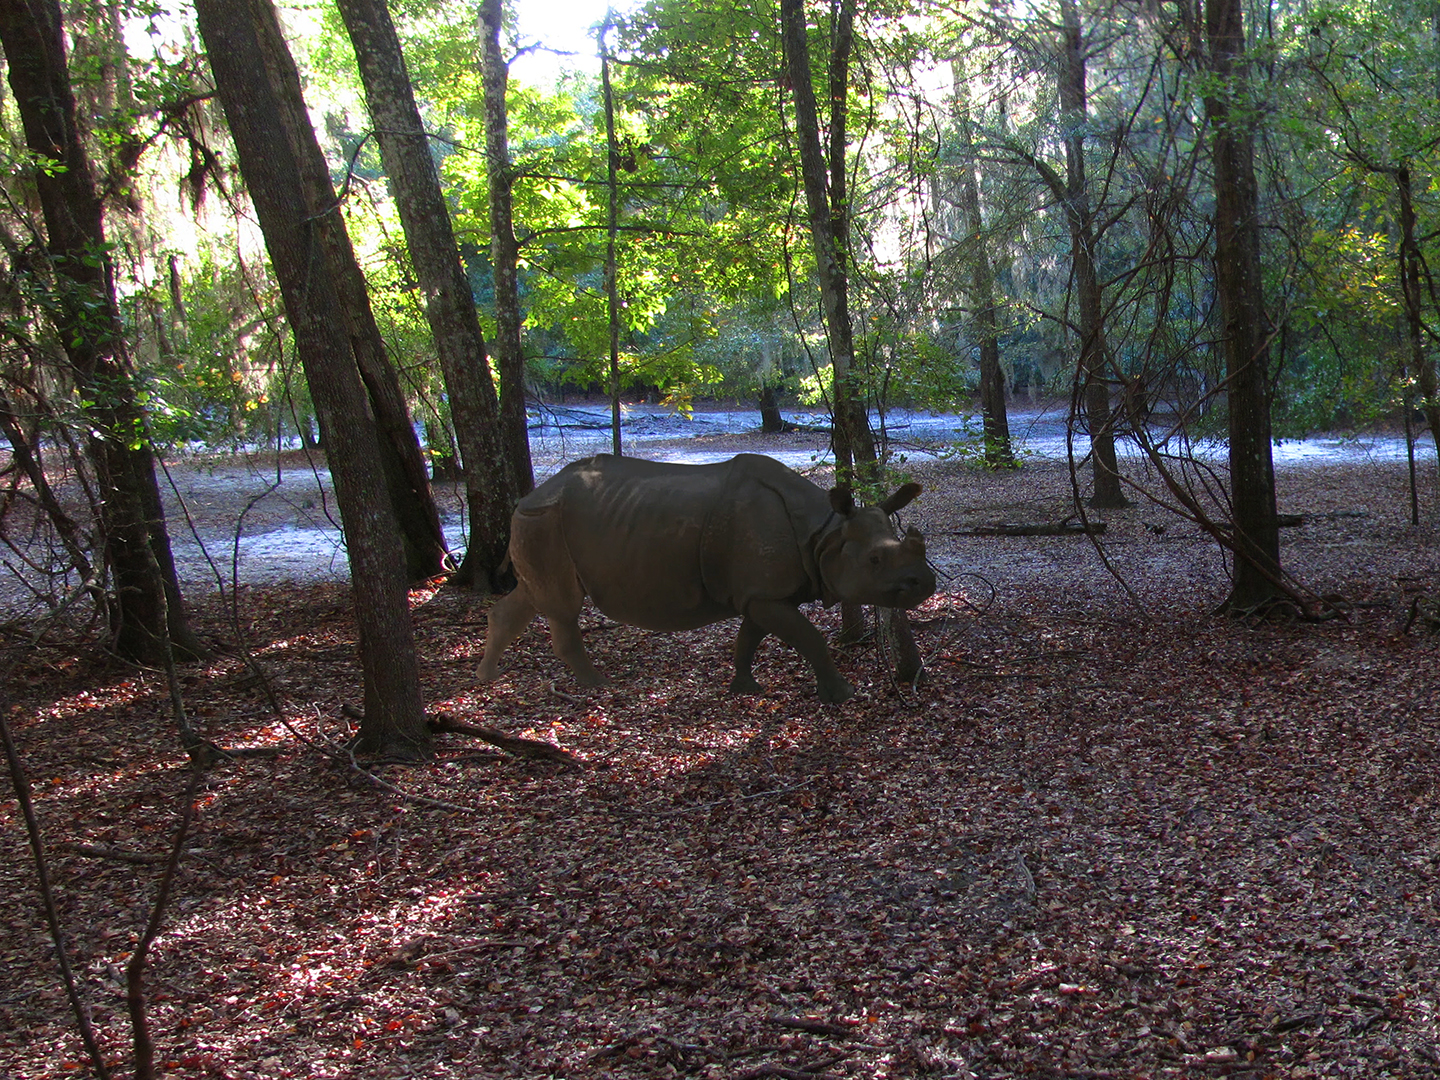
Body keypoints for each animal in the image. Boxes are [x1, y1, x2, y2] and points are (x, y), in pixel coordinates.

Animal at [477, 453, 935, 702]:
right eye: (875, 560)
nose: (926, 584)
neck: (826, 534)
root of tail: (530, 495)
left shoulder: (762, 594)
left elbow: (748, 638)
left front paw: (744, 688)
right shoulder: (765, 593)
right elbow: (810, 639)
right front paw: (842, 696)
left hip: (538, 520)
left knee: (530, 597)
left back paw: (487, 676)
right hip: (545, 520)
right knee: (562, 606)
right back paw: (598, 685)